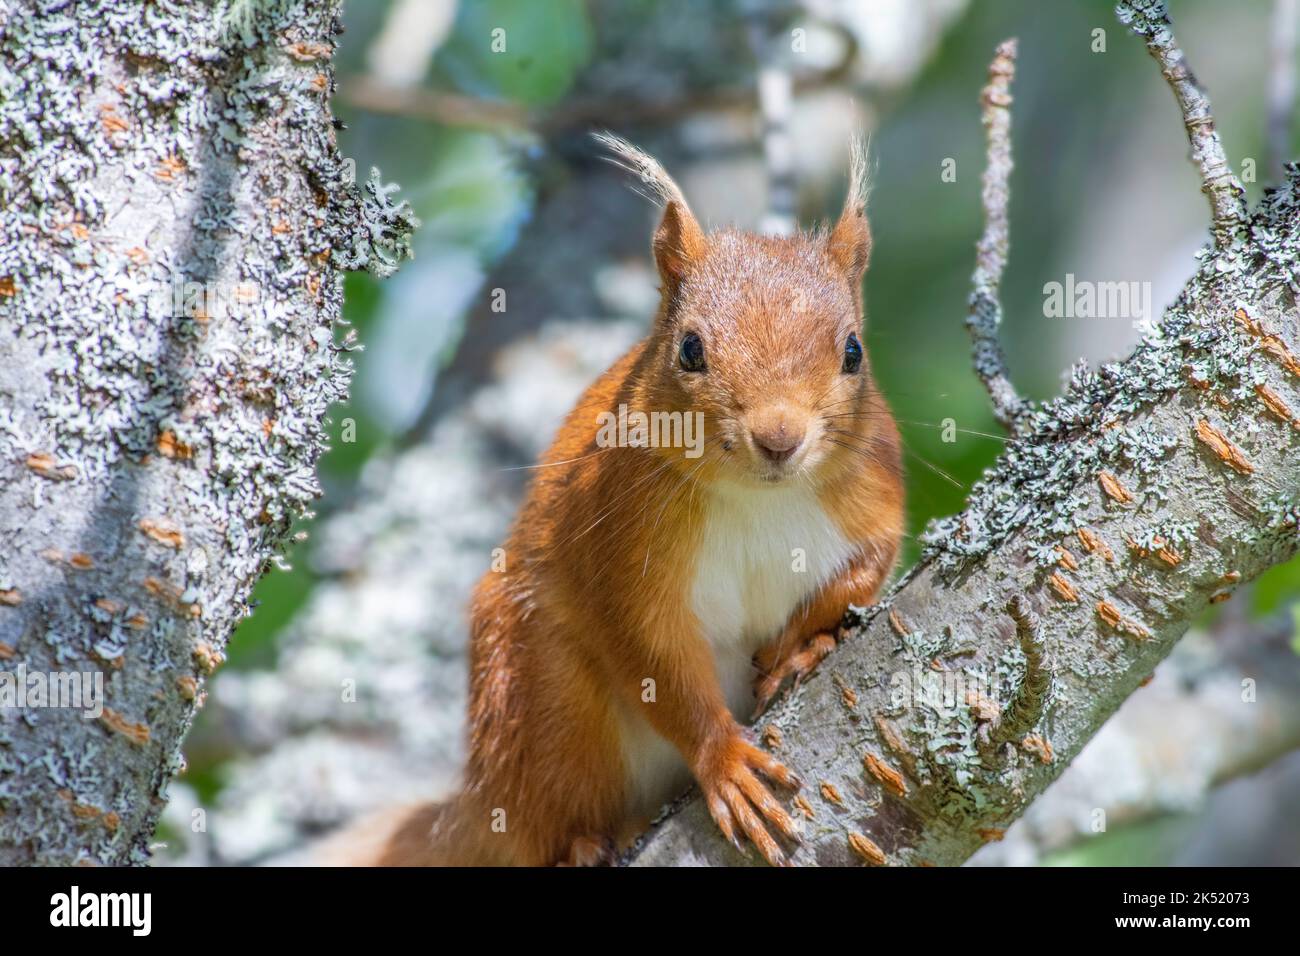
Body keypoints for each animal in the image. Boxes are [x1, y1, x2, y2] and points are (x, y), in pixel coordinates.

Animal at [332, 134, 904, 868]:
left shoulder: (873, 491)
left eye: (854, 351)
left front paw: (803, 644)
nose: (779, 437)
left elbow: (866, 569)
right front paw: (725, 760)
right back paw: (586, 840)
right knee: (541, 815)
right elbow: (653, 654)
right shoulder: (621, 541)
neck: (756, 497)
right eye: (689, 349)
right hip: (545, 697)